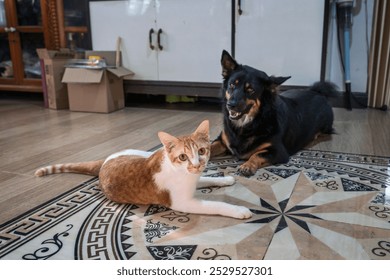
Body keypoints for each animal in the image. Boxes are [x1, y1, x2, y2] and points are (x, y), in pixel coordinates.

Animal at [35, 120, 251, 219]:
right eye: (183, 156)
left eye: (202, 151)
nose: (198, 164)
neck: (182, 174)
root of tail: (105, 160)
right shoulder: (183, 202)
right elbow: (215, 205)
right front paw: (238, 210)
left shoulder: (195, 177)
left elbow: (207, 178)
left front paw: (224, 179)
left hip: (145, 152)